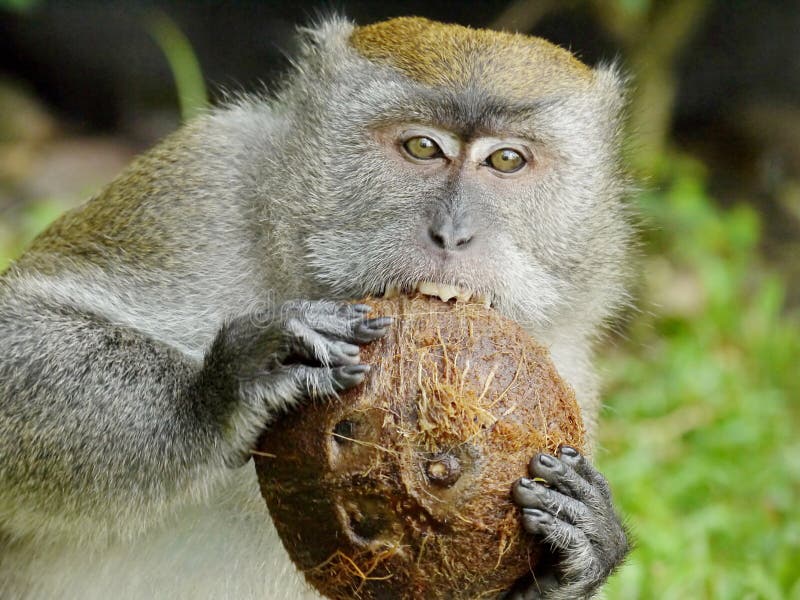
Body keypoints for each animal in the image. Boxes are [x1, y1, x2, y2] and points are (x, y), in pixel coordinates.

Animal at [0, 15, 630, 600]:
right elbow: (17, 327)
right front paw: (222, 389)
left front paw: (573, 555)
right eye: (423, 147)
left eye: (506, 160)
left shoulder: (572, 377)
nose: (452, 234)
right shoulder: (200, 185)